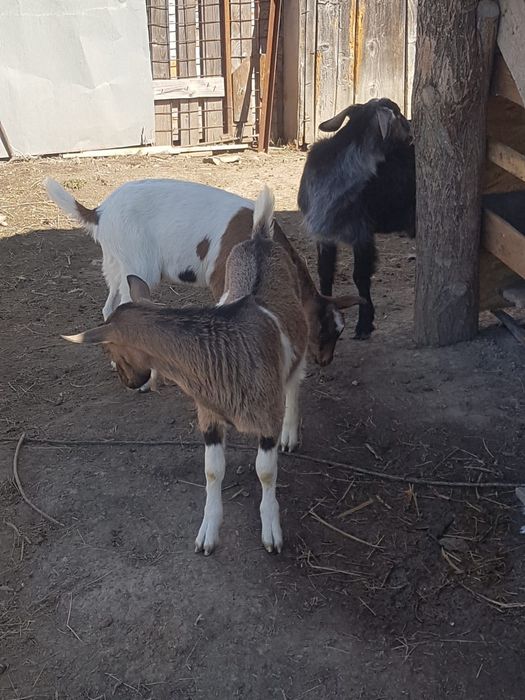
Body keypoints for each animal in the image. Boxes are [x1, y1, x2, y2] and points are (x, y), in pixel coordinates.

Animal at [45, 177, 359, 367]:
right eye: (321, 330)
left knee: (109, 306)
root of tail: (100, 211)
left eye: (340, 332)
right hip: (139, 264)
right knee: (125, 305)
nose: (326, 361)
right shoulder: (223, 280)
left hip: (114, 262)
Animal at [62, 188, 308, 555]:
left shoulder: (267, 416)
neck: (220, 356)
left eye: (109, 348)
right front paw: (208, 533)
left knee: (295, 381)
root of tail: (260, 235)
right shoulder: (208, 416)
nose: (129, 383)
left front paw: (271, 532)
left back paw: (292, 433)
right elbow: (212, 471)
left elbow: (265, 471)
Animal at [298, 97, 415, 339]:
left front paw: (364, 325)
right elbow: (325, 273)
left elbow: (359, 277)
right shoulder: (324, 235)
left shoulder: (362, 233)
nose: (412, 126)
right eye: (398, 114)